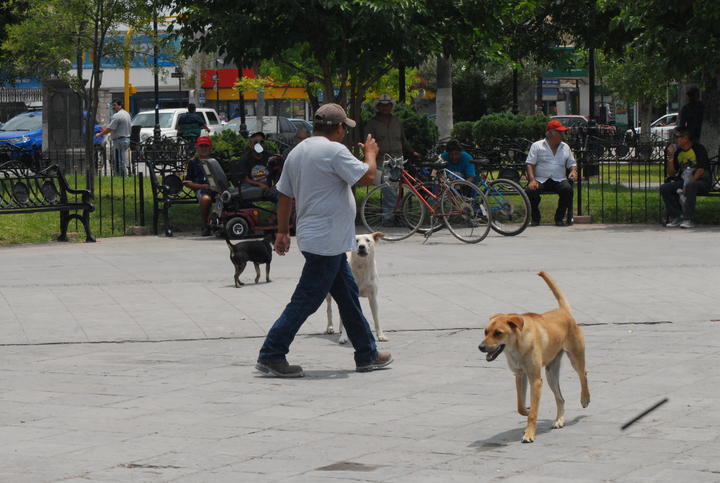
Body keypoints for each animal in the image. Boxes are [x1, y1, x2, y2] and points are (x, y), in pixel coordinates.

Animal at [478, 270, 592, 444]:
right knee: (560, 398)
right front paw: (527, 409)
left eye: (498, 333)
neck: (516, 347)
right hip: (551, 373)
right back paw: (559, 420)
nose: (481, 347)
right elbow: (520, 405)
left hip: (575, 356)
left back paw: (585, 399)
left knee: (583, 374)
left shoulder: (536, 380)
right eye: (485, 332)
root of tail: (563, 311)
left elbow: (532, 414)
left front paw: (529, 434)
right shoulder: (520, 375)